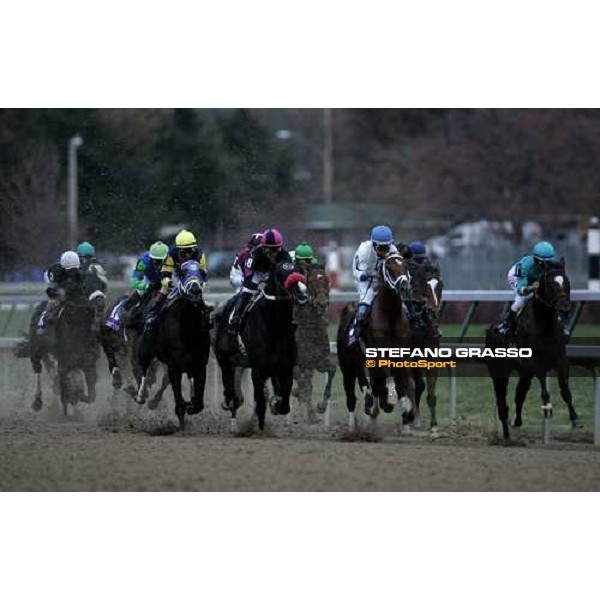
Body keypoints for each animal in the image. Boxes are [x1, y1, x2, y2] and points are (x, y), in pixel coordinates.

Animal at [135, 260, 211, 428]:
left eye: (202, 272)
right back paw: (141, 396)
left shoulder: (200, 364)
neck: (188, 328)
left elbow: (199, 402)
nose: (195, 289)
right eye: (182, 272)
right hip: (145, 349)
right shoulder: (174, 366)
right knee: (143, 369)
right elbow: (179, 402)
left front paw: (192, 404)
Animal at [336, 253, 414, 432]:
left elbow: (405, 383)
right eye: (389, 268)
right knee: (351, 394)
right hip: (347, 366)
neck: (390, 314)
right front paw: (387, 399)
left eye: (405, 266)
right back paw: (353, 426)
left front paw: (406, 412)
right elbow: (381, 383)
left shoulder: (402, 354)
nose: (404, 286)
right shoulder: (376, 353)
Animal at [488, 255, 580, 442]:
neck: (544, 326)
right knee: (502, 401)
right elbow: (544, 385)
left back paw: (516, 421)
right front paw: (547, 407)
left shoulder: (561, 359)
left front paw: (575, 419)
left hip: (524, 372)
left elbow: (565, 390)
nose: (565, 309)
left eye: (567, 282)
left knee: (520, 394)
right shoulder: (534, 361)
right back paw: (506, 433)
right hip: (499, 371)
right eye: (551, 284)